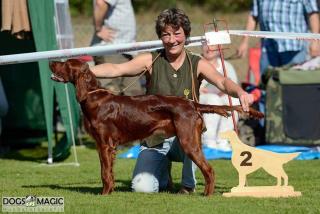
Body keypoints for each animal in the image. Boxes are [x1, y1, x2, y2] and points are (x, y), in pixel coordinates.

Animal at [48, 58, 262, 196]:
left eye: (65, 63)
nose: (50, 61)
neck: (93, 97)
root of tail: (192, 104)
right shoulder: (108, 147)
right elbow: (109, 172)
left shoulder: (104, 144)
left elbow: (104, 173)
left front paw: (105, 194)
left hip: (188, 141)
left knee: (209, 170)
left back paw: (207, 195)